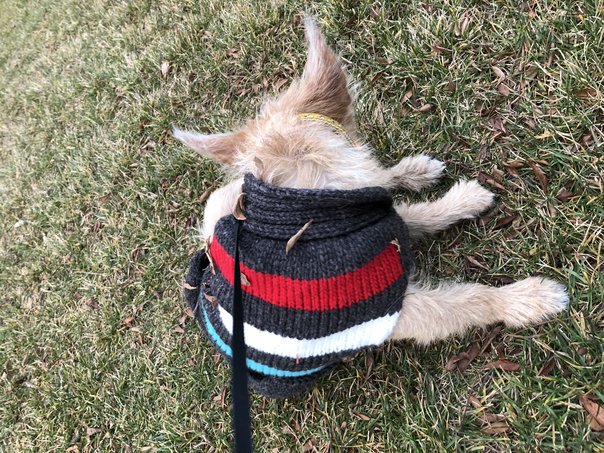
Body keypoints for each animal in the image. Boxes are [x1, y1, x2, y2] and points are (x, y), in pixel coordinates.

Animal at [176, 17, 568, 398]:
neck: (307, 214)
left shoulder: (376, 216)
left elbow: (418, 215)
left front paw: (463, 201)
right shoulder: (388, 315)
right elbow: (465, 302)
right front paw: (525, 300)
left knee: (389, 184)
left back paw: (414, 171)